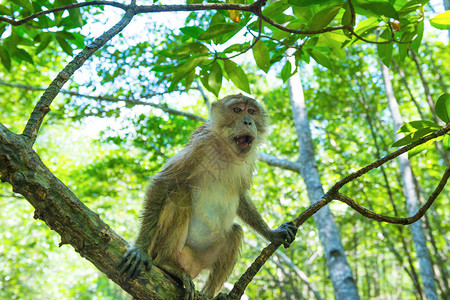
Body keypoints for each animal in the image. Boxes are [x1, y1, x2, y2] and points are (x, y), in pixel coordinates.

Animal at [118, 93, 298, 298]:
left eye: (252, 111)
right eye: (237, 110)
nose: (248, 121)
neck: (227, 150)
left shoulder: (249, 158)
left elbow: (241, 197)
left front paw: (272, 233)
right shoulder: (201, 146)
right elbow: (163, 182)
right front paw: (139, 249)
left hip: (201, 259)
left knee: (236, 232)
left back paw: (208, 295)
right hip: (164, 247)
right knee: (180, 193)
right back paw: (165, 263)